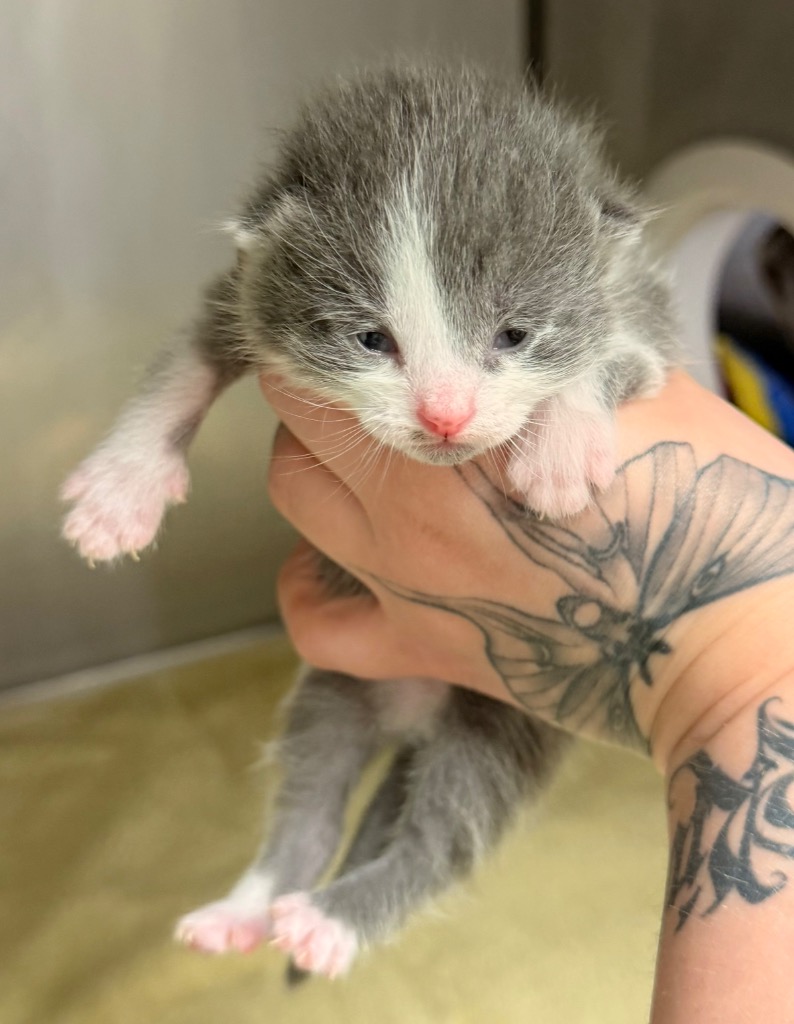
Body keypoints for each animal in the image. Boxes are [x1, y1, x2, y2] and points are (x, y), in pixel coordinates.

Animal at [61, 65, 676, 978]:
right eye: (370, 338)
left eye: (515, 335)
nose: (445, 415)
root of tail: (411, 715)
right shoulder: (246, 290)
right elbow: (182, 367)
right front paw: (119, 490)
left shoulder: (647, 307)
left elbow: (616, 353)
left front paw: (562, 447)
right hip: (334, 688)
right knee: (310, 809)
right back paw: (251, 909)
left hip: (501, 722)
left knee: (440, 837)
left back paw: (335, 920)